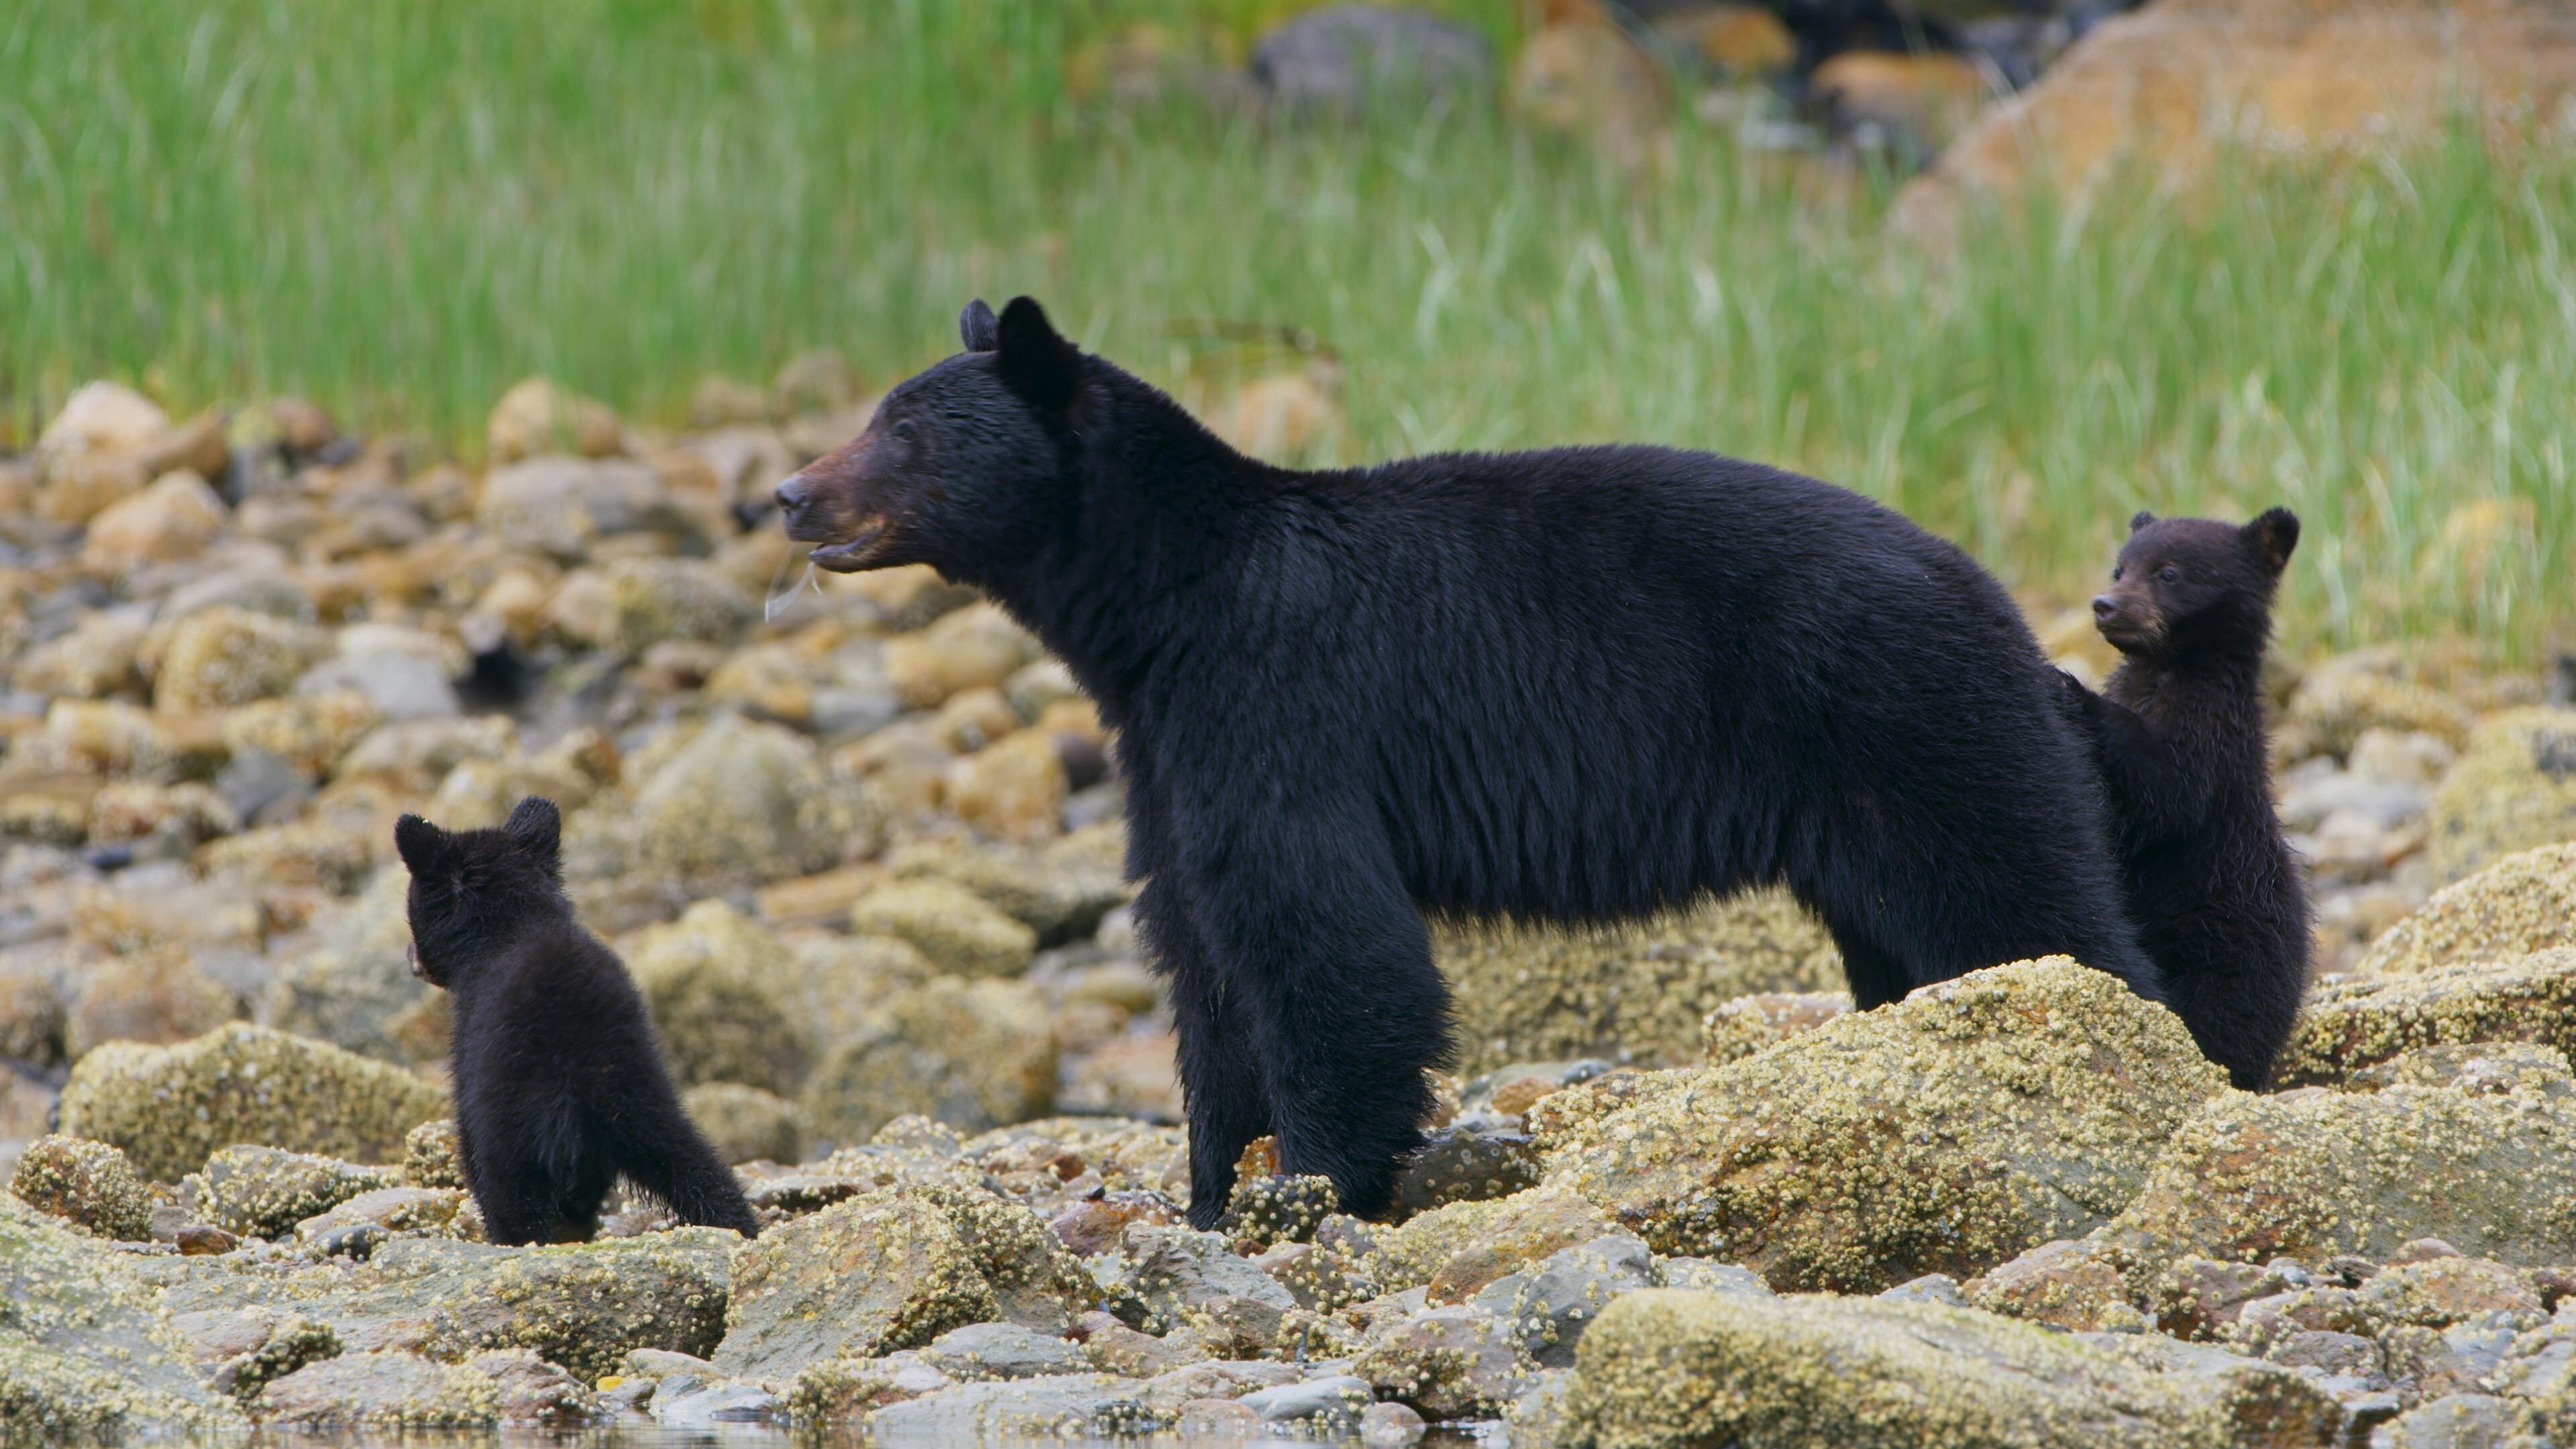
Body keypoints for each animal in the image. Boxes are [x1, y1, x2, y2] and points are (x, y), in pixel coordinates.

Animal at [386, 794, 757, 1237]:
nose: (411, 959)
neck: (514, 927)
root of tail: (570, 1076)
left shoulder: (469, 1051)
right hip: (639, 1099)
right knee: (695, 1165)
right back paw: (738, 1226)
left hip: (510, 1115)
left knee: (507, 1193)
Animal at [773, 296, 2163, 1217]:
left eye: (903, 433)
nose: (786, 494)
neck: (1164, 604)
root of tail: (2001, 601)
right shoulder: (1165, 750)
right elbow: (1200, 954)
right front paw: (1212, 1195)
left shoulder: (1278, 704)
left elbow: (1328, 942)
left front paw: (1319, 1185)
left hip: (1910, 720)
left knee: (2026, 908)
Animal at [2061, 508, 2308, 1083]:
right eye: (2120, 567)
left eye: (2169, 573)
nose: (2105, 605)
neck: (2166, 672)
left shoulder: (2212, 741)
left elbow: (2169, 795)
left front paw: (2069, 686)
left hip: (2229, 960)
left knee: (2225, 1027)